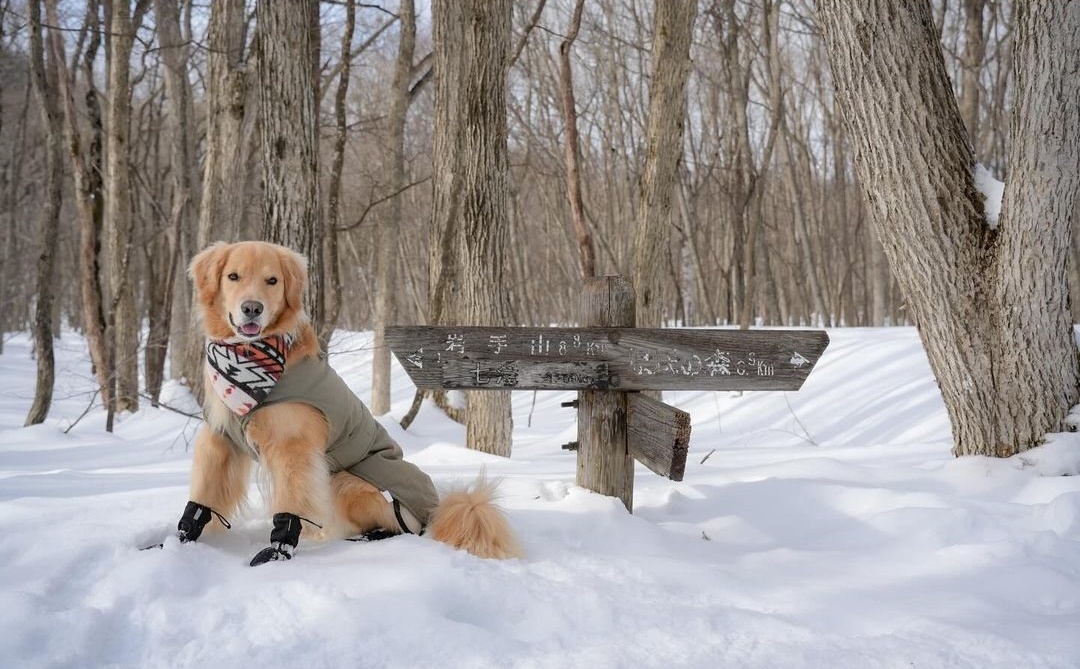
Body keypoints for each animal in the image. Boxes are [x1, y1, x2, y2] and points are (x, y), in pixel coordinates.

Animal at [171, 241, 518, 566]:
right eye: (233, 276)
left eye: (272, 280)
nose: (252, 308)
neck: (252, 356)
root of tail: (433, 511)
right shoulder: (222, 437)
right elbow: (205, 493)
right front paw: (181, 538)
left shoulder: (294, 448)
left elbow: (290, 506)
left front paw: (278, 550)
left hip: (346, 481)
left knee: (394, 527)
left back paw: (366, 537)